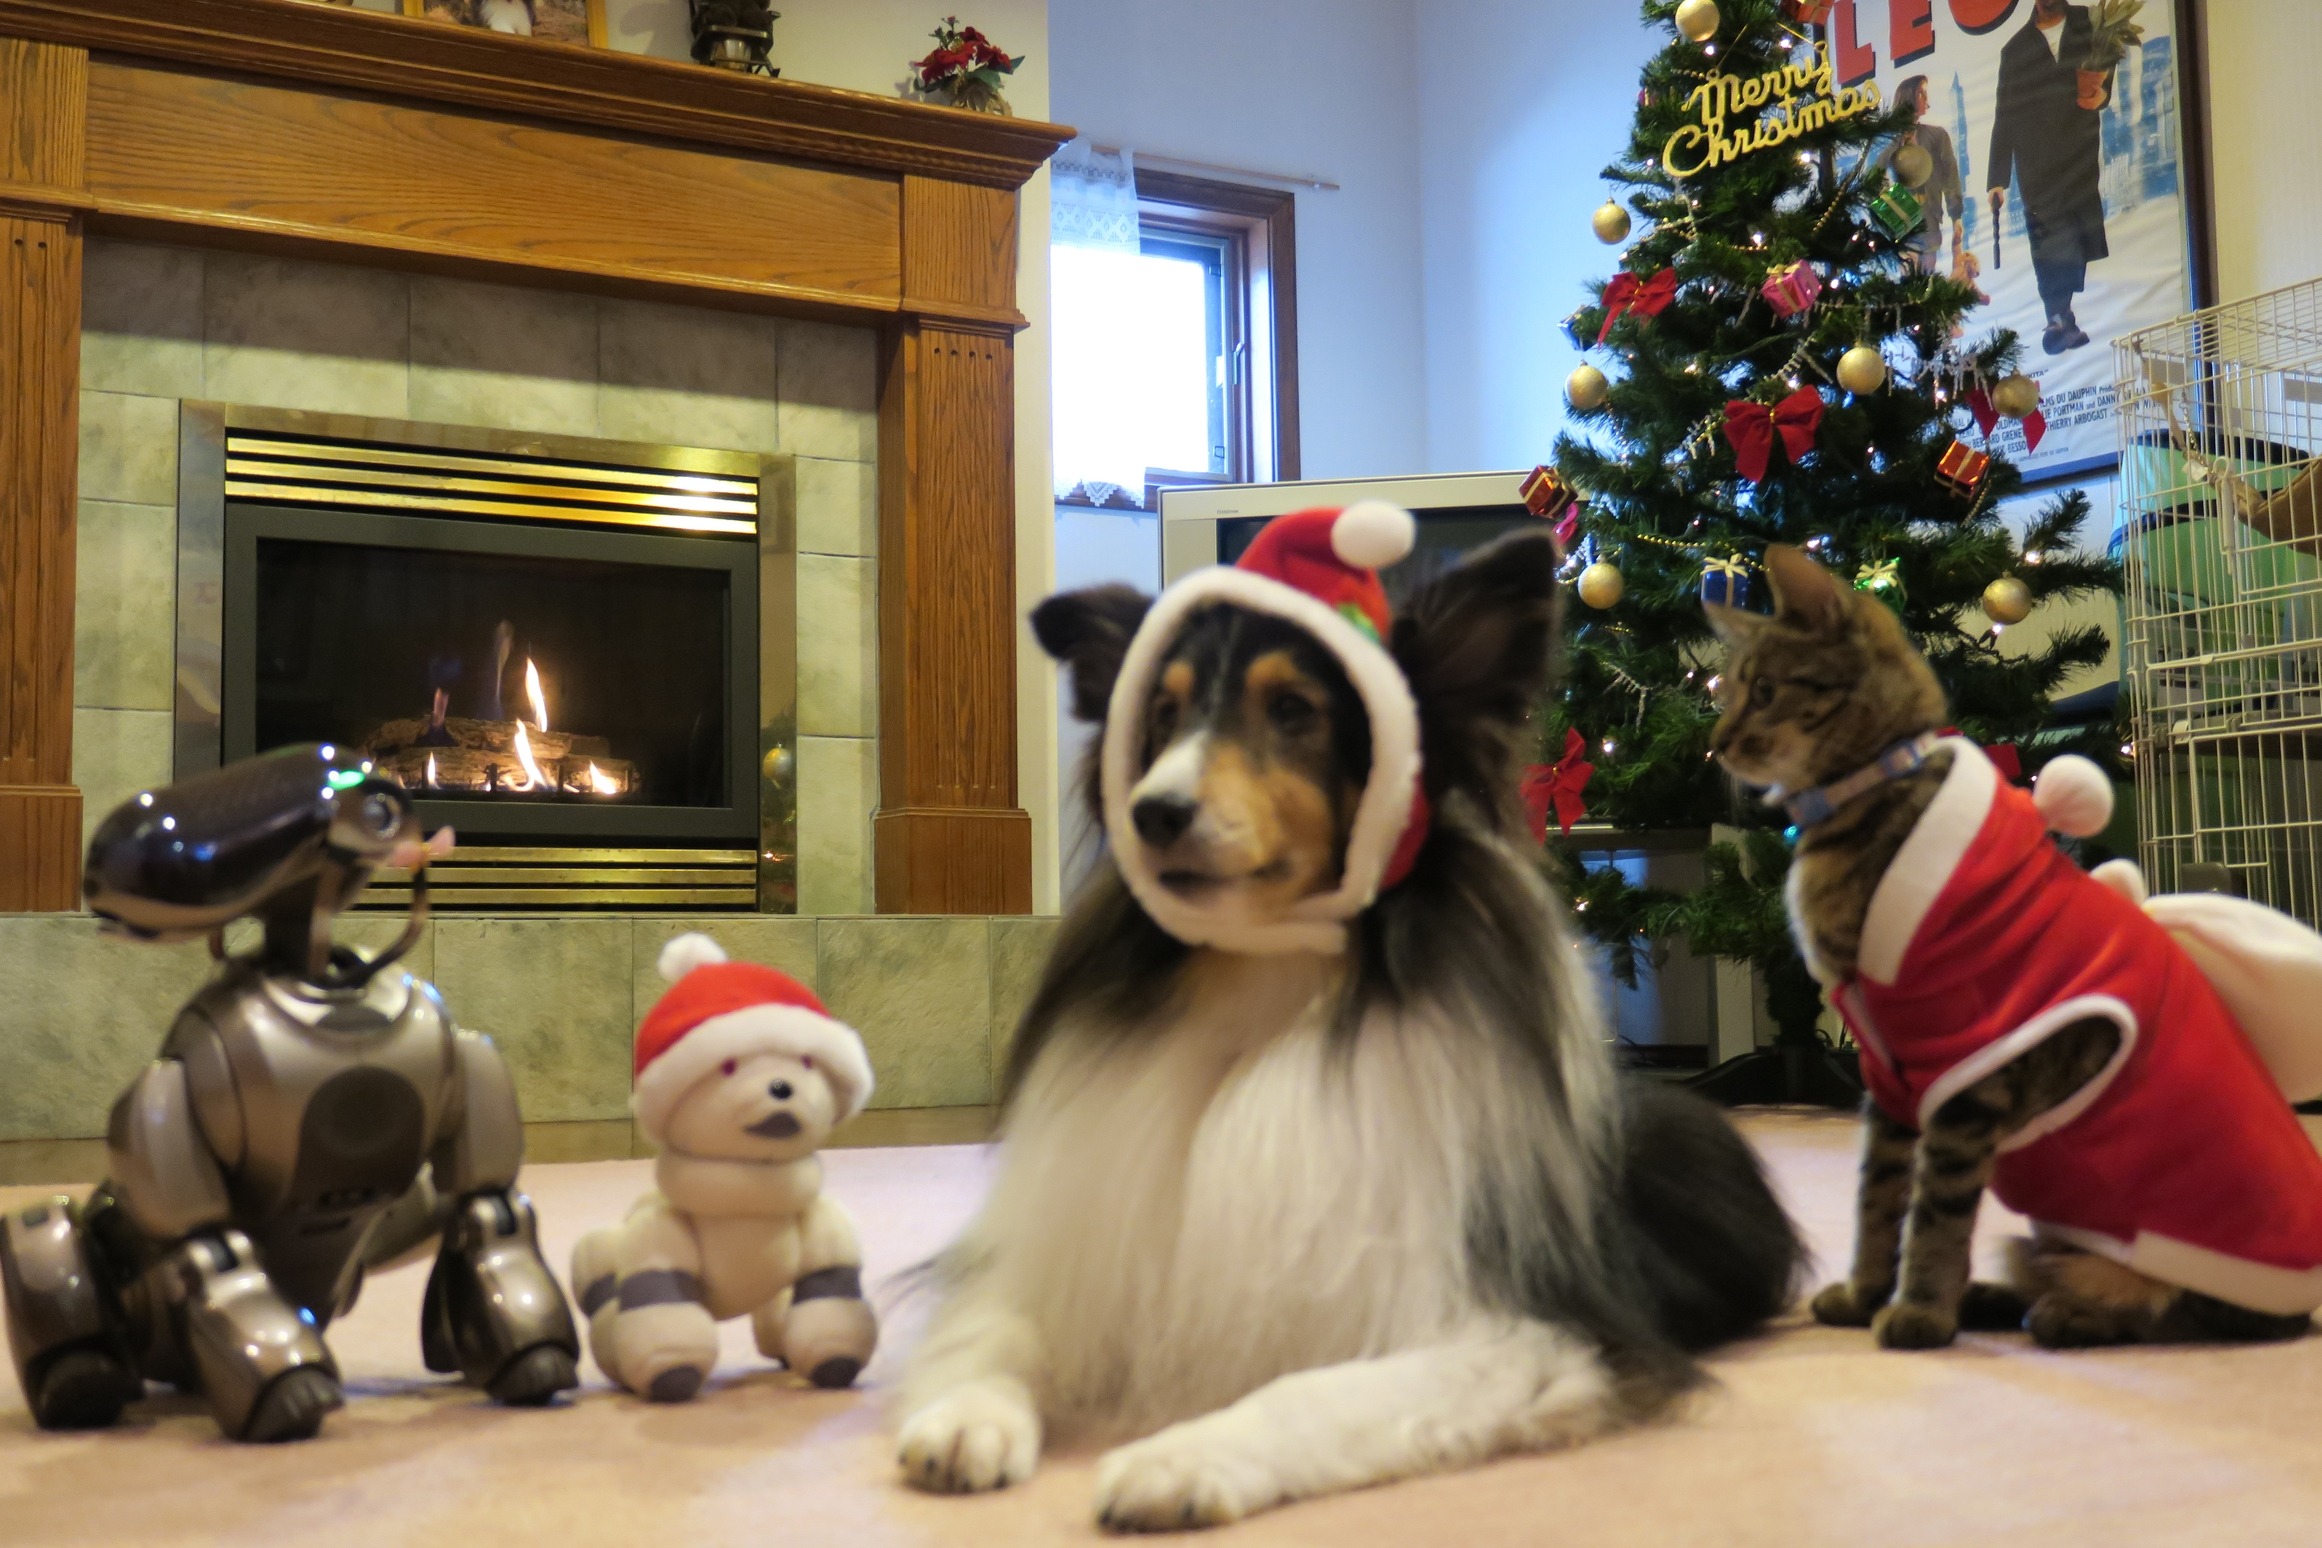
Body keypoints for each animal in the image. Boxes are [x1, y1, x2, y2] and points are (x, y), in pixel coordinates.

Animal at [0, 742, 580, 1448]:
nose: (369, 805)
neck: (323, 986)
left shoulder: (462, 1049)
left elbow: (490, 1202)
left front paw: (536, 1358)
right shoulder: (181, 1083)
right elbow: (209, 1242)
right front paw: (290, 1393)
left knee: (469, 1207)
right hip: (122, 1265)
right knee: (49, 1236)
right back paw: (79, 1377)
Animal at [887, 515, 1792, 1531]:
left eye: (1294, 711)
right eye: (1159, 716)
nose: (1151, 812)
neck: (1267, 978)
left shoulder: (1530, 1333)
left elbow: (1312, 1392)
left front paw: (1177, 1458)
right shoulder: (1064, 1257)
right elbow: (995, 1330)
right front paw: (964, 1421)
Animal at [1699, 550, 2312, 1346]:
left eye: (1765, 691)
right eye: (1722, 691)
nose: (1715, 743)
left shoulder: (1965, 1066)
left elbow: (1935, 1213)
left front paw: (1920, 1311)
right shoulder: (1891, 1074)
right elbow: (1878, 1199)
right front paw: (1867, 1295)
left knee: (2172, 1311)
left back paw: (2063, 1312)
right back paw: (1992, 1299)